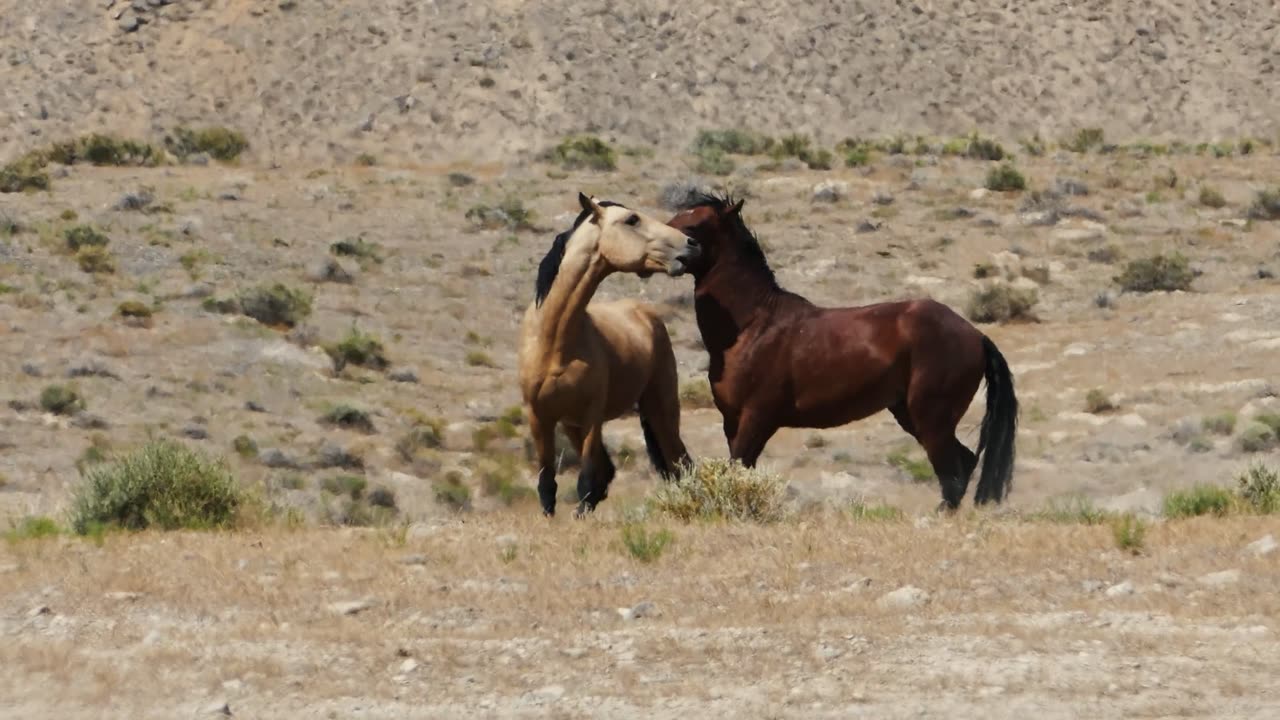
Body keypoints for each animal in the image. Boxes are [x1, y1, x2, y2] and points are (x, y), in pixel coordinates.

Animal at [670, 190, 1018, 509]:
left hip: (931, 418)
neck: (753, 325)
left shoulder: (757, 418)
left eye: (695, 226)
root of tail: (975, 335)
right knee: (963, 463)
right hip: (911, 414)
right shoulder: (732, 421)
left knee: (951, 470)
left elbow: (739, 469)